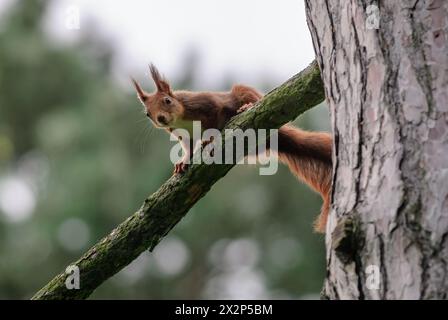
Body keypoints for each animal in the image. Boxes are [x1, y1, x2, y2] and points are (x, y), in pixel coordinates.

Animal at [131, 64, 330, 232]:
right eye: (147, 113)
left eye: (167, 100)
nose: (161, 119)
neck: (180, 118)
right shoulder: (183, 134)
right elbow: (188, 147)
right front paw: (183, 161)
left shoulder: (206, 104)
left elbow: (217, 116)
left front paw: (209, 139)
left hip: (244, 92)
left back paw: (246, 107)